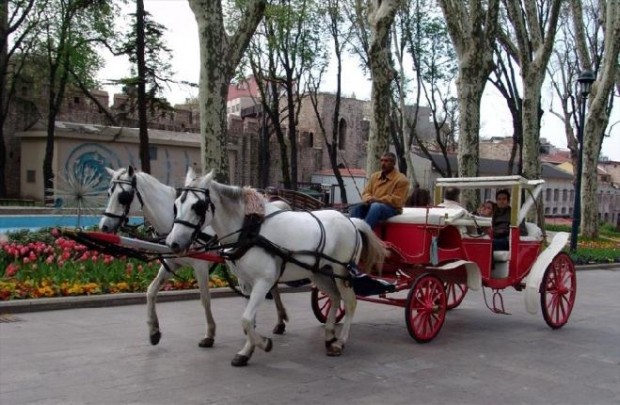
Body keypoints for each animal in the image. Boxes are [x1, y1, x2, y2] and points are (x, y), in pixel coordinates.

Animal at [98, 164, 292, 348]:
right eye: (109, 193)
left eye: (123, 196)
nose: (104, 226)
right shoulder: (171, 263)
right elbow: (151, 291)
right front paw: (154, 331)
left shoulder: (200, 266)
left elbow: (205, 299)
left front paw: (210, 334)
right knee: (273, 285)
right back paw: (278, 321)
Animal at [165, 167, 388, 366]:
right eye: (175, 205)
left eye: (198, 206)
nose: (173, 243)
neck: (249, 229)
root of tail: (351, 220)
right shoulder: (245, 282)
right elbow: (249, 319)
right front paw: (247, 351)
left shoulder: (264, 281)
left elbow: (246, 319)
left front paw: (263, 343)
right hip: (319, 273)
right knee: (334, 297)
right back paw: (329, 335)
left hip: (342, 272)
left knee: (349, 303)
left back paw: (340, 342)